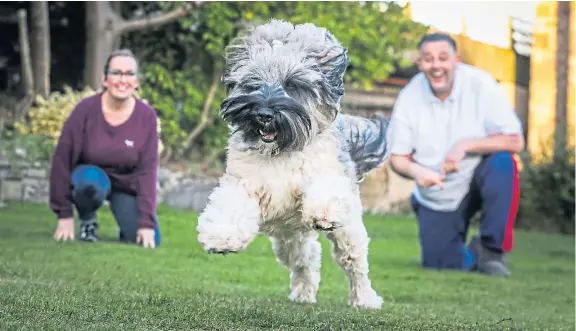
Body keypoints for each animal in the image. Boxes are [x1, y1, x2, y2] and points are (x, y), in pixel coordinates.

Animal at [196, 18, 390, 312]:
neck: (280, 151)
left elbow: (324, 188)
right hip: (289, 237)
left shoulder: (324, 170)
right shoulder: (243, 183)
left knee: (355, 265)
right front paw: (221, 236)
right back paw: (303, 293)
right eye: (253, 83)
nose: (264, 114)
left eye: (292, 84)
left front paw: (323, 211)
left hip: (347, 232)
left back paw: (365, 299)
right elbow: (231, 206)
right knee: (306, 260)